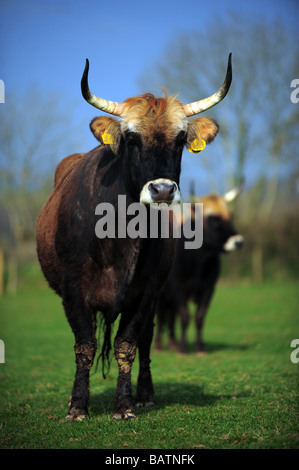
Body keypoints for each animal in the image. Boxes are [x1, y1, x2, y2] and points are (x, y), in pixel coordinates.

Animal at [34, 56, 232, 422]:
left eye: (180, 140)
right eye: (131, 139)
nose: (163, 190)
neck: (119, 237)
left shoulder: (147, 291)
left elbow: (127, 344)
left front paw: (125, 405)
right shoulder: (72, 290)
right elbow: (85, 346)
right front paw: (77, 406)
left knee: (147, 339)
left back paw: (145, 394)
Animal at [156, 185, 245, 354]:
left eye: (231, 216)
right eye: (214, 218)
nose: (238, 242)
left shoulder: (208, 289)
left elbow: (199, 316)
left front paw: (199, 347)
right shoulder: (177, 289)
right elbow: (185, 316)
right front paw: (183, 348)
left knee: (170, 317)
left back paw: (172, 343)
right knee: (159, 318)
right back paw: (158, 346)